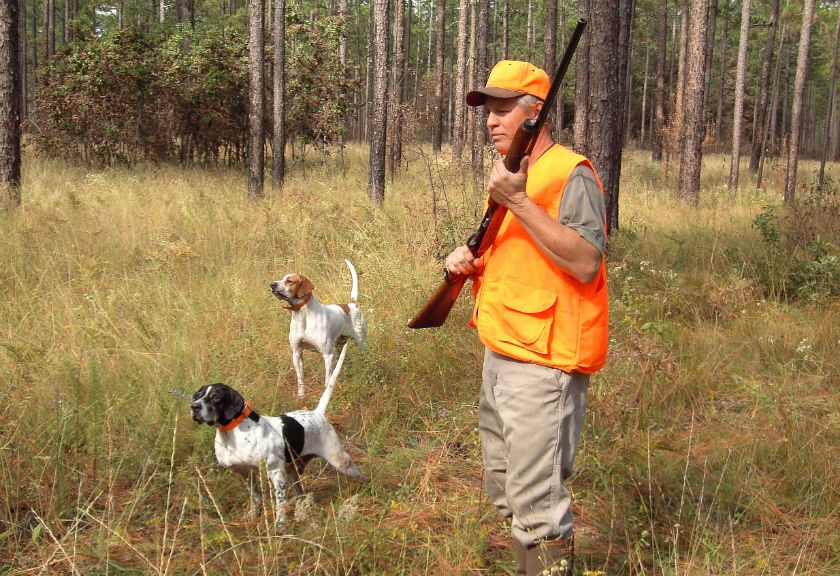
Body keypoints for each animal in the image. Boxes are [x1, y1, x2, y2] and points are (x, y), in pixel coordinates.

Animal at [190, 342, 364, 528]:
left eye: (216, 397)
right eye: (198, 395)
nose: (194, 406)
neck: (232, 433)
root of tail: (317, 413)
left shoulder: (275, 472)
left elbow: (280, 503)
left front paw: (280, 524)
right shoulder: (246, 474)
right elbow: (256, 497)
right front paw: (254, 515)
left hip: (341, 462)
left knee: (360, 474)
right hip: (293, 470)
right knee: (299, 492)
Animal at [270, 260, 366, 398]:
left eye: (290, 281)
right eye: (282, 278)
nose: (272, 285)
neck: (302, 315)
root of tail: (350, 305)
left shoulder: (328, 355)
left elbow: (327, 380)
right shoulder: (297, 353)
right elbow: (300, 379)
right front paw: (301, 397)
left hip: (361, 343)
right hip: (339, 347)